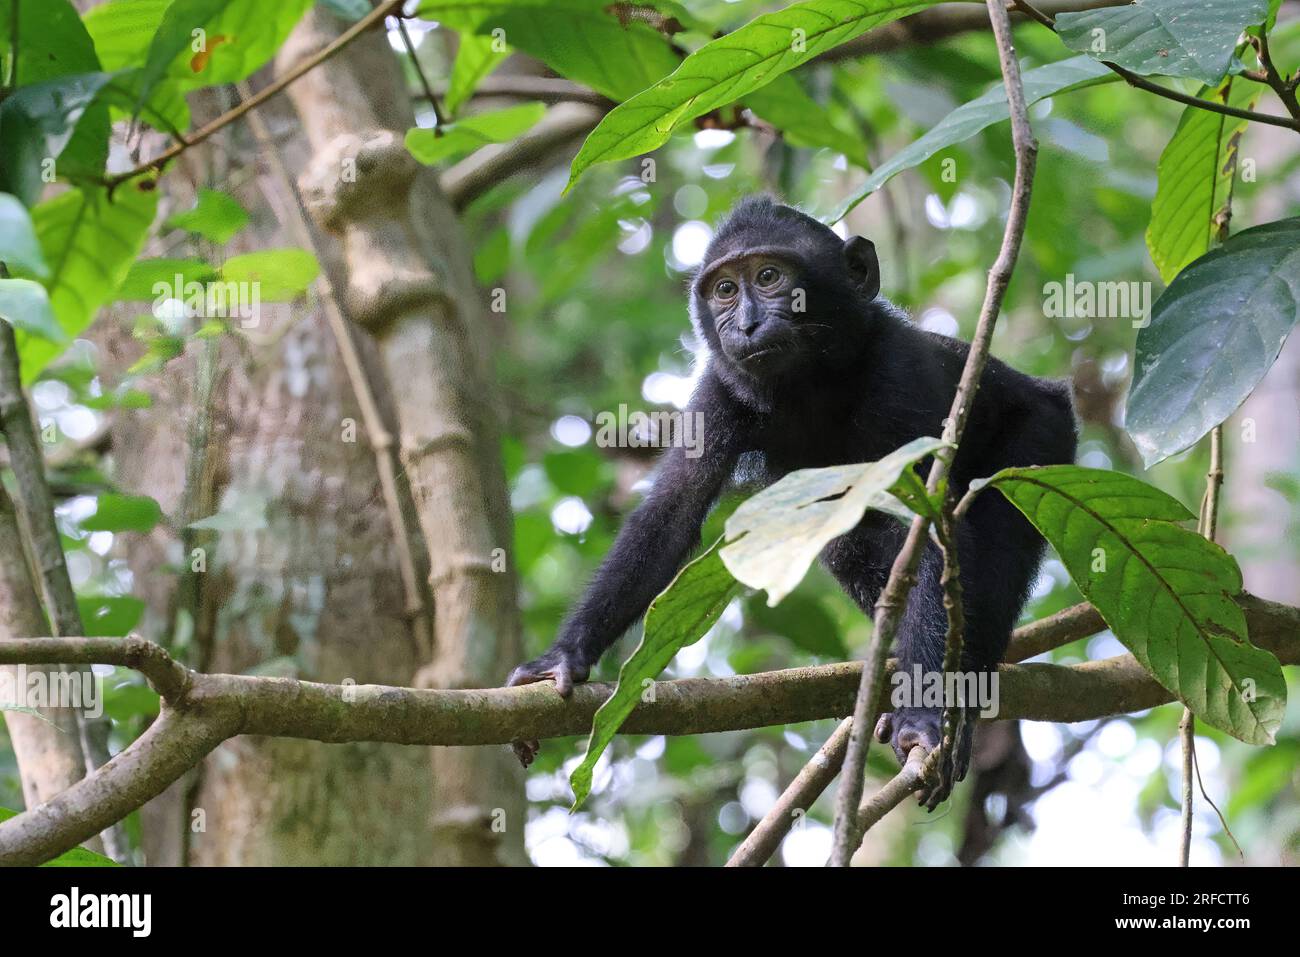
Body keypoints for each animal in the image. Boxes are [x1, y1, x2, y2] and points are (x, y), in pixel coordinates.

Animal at [508, 197, 1077, 805]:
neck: (813, 381)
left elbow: (924, 527)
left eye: (769, 277)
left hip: (1042, 433)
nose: (746, 323)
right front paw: (563, 658)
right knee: (850, 543)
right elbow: (672, 512)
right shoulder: (718, 389)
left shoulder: (899, 365)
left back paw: (969, 693)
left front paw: (922, 719)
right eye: (724, 290)